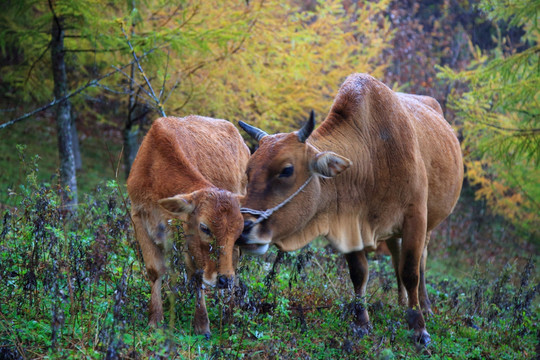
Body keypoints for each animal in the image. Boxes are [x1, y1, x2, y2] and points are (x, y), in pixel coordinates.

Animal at [127, 115, 250, 338]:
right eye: (205, 227)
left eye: (238, 232)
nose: (224, 280)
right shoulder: (138, 217)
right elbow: (155, 270)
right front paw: (155, 319)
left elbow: (196, 275)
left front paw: (202, 324)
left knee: (235, 261)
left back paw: (230, 312)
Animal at [238, 74, 462, 346]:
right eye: (248, 170)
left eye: (286, 170)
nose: (244, 228)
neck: (371, 158)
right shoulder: (348, 224)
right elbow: (359, 273)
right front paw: (362, 323)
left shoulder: (415, 217)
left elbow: (411, 271)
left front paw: (419, 329)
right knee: (396, 257)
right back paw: (401, 303)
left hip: (429, 226)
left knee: (420, 261)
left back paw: (425, 306)